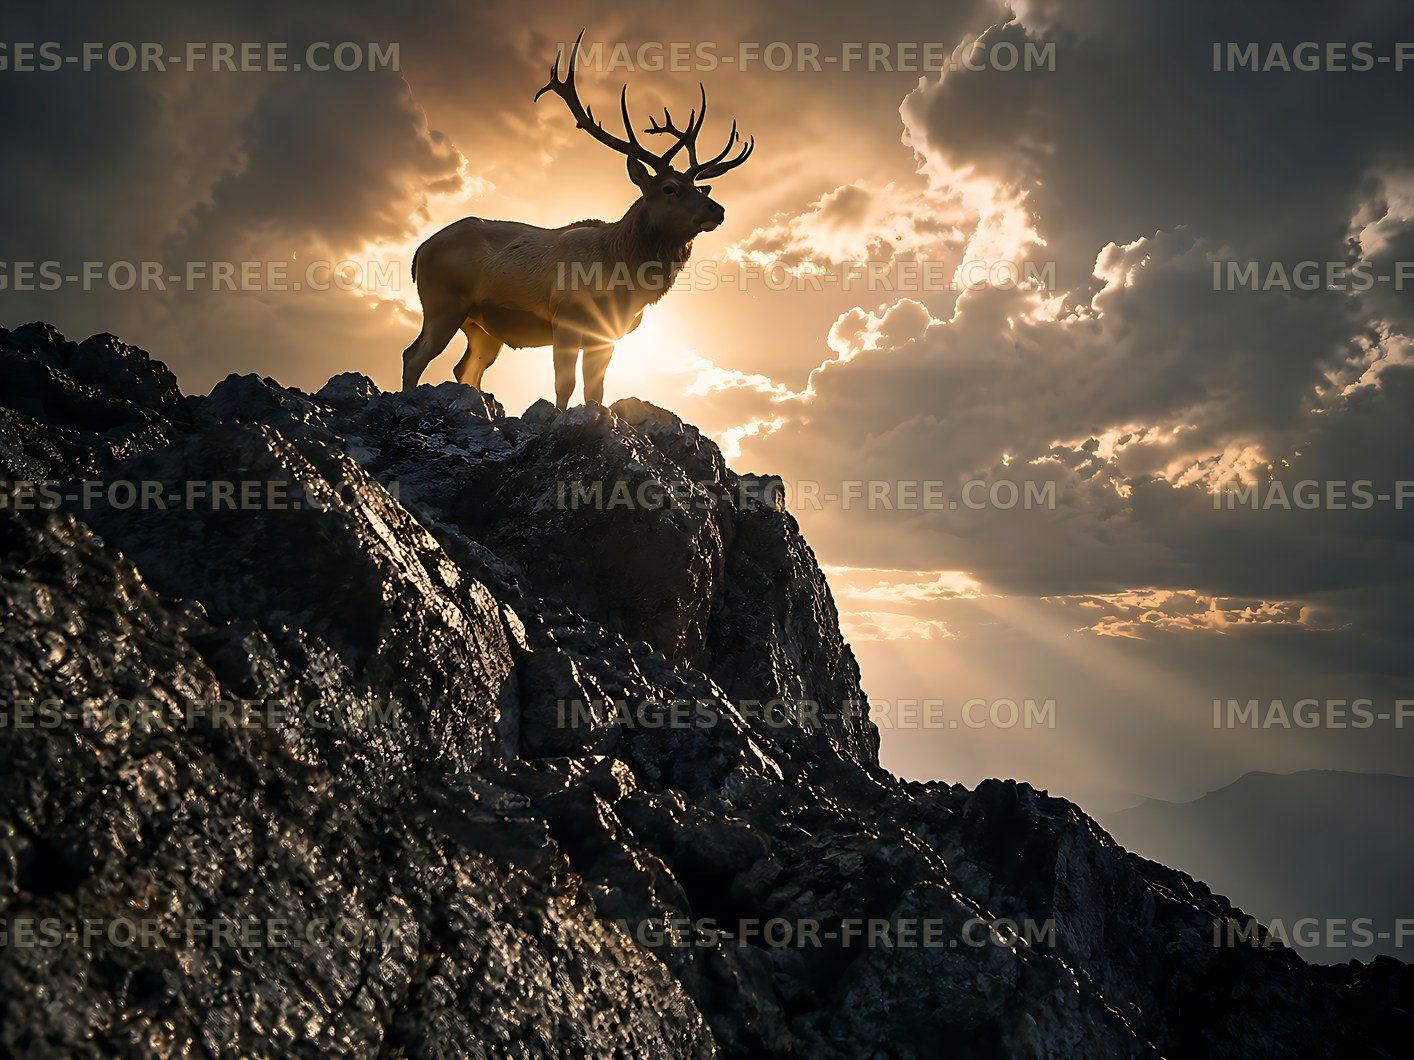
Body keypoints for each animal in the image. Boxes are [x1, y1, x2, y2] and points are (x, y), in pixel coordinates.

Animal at [401, 30, 754, 408]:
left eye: (699, 189)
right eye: (669, 188)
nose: (717, 209)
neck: (620, 276)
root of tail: (420, 251)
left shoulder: (609, 335)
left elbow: (595, 390)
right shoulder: (566, 318)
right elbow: (565, 384)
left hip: (482, 327)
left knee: (466, 368)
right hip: (443, 302)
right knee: (414, 354)